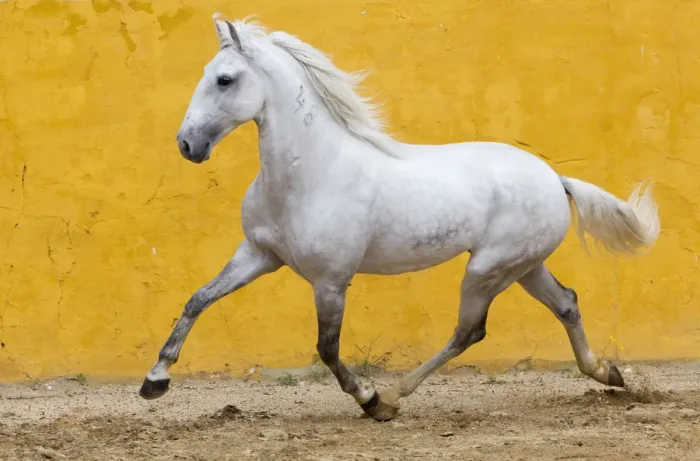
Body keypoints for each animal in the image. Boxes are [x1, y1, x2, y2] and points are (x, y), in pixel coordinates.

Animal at [139, 14, 660, 422]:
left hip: (489, 268)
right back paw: (609, 373)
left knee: (469, 331)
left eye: (225, 79)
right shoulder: (258, 255)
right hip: (525, 267)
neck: (311, 174)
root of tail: (555, 178)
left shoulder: (331, 280)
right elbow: (198, 300)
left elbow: (327, 348)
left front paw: (371, 401)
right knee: (566, 303)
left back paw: (396, 393)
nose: (188, 144)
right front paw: (154, 380)